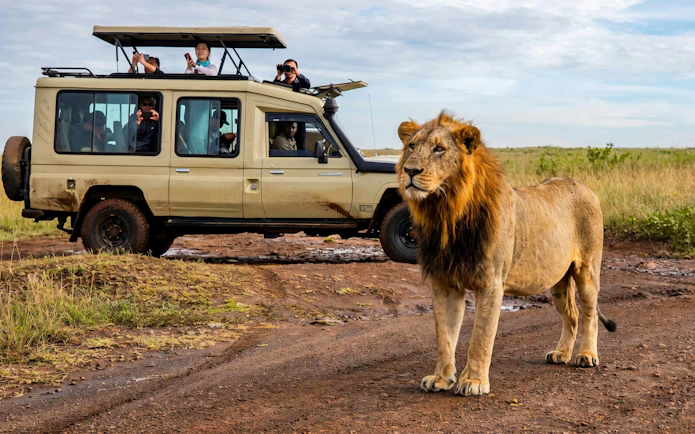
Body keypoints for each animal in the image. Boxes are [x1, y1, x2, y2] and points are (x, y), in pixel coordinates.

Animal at [396, 111, 616, 397]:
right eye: (411, 146)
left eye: (439, 149)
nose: (409, 170)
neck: (446, 213)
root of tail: (583, 185)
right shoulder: (444, 283)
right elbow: (444, 336)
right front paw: (441, 379)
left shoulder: (491, 283)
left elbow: (480, 337)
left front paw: (473, 381)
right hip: (558, 280)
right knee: (572, 315)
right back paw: (561, 353)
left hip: (587, 269)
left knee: (589, 314)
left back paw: (587, 356)